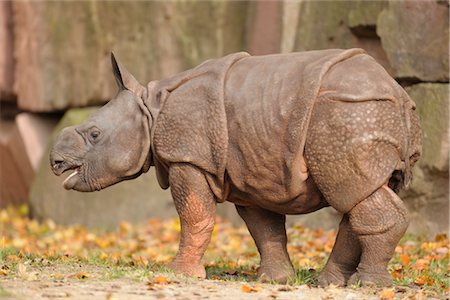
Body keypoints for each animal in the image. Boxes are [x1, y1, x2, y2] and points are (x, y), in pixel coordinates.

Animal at [51, 48, 420, 286]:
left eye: (94, 134)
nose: (55, 162)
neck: (151, 110)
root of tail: (399, 94)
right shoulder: (250, 170)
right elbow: (264, 227)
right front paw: (276, 280)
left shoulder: (189, 156)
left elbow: (195, 215)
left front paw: (178, 274)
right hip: (359, 113)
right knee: (360, 194)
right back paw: (330, 284)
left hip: (350, 113)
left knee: (355, 193)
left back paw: (368, 286)